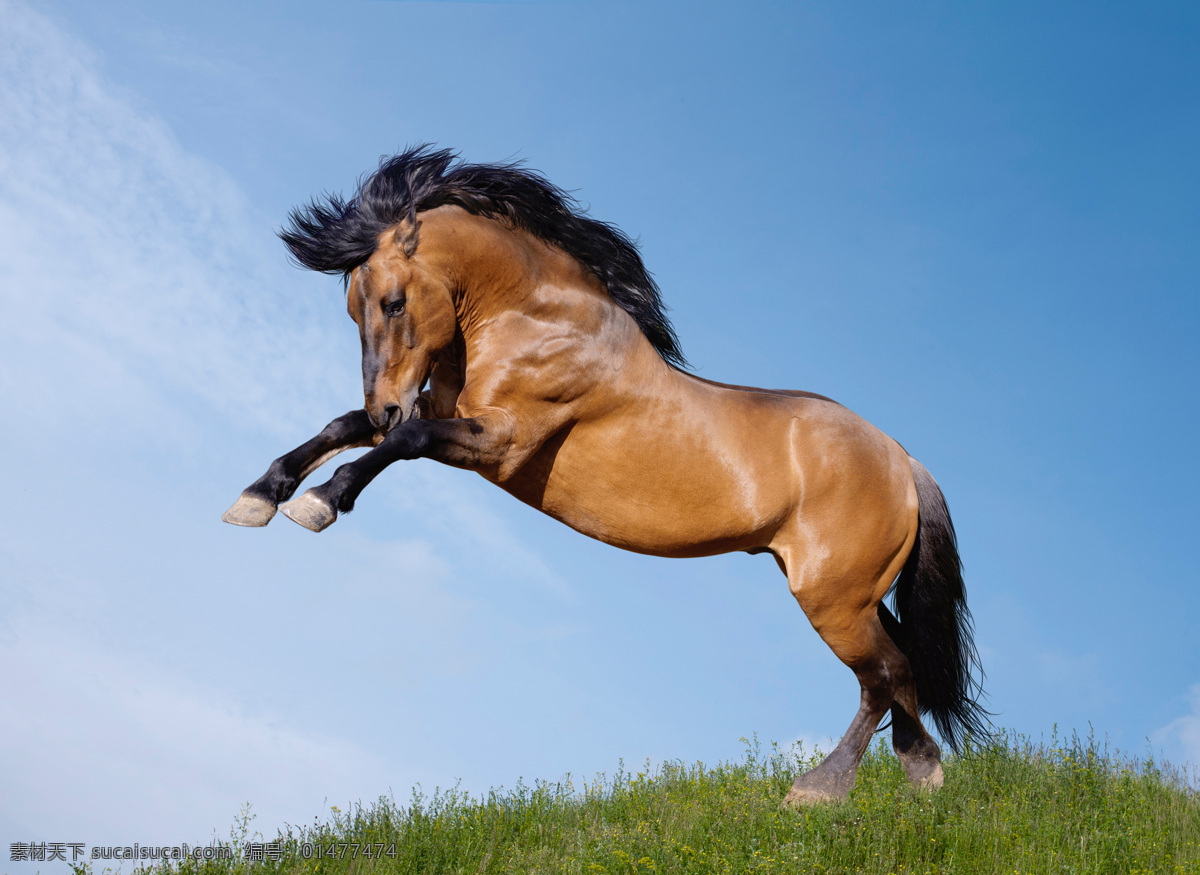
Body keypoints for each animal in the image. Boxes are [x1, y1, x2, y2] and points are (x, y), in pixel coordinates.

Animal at [223, 145, 984, 806]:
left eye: (393, 303)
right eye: (354, 308)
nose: (387, 399)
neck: (531, 317)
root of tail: (902, 458)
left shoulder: (500, 440)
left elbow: (398, 442)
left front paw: (320, 502)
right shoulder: (442, 410)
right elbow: (344, 427)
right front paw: (257, 498)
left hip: (832, 598)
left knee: (882, 675)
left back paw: (820, 791)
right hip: (853, 592)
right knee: (904, 668)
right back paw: (924, 778)